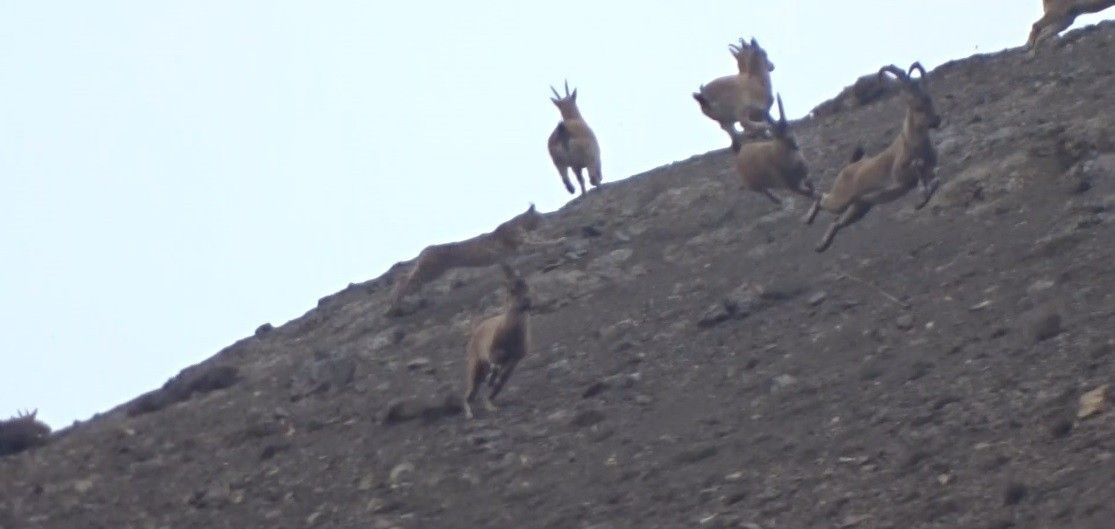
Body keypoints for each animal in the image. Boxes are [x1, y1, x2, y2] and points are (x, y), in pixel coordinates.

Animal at [461, 262, 530, 419]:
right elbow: (495, 368)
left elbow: (501, 377)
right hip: (475, 365)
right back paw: (469, 413)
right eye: (511, 290)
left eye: (526, 286)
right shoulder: (492, 355)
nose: (527, 303)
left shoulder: (515, 359)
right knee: (470, 391)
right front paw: (492, 380)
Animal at [802, 63, 941, 253]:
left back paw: (821, 246)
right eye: (917, 105)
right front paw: (921, 197)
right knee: (821, 199)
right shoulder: (899, 175)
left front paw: (922, 199)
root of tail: (848, 168)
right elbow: (917, 166)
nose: (936, 120)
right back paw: (807, 220)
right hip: (841, 199)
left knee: (837, 222)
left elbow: (936, 177)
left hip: (859, 207)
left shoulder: (929, 169)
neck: (914, 144)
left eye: (930, 99)